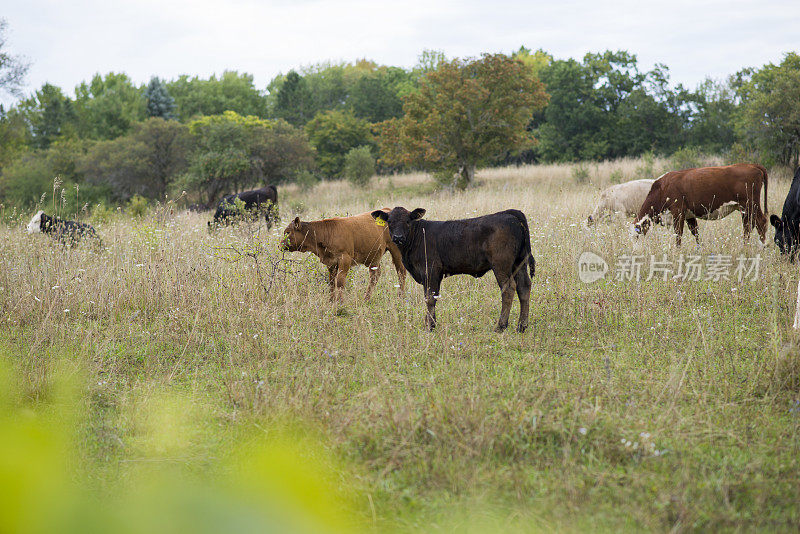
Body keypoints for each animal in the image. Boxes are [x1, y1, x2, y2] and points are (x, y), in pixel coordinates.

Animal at [632, 163, 768, 247]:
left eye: (637, 235)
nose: (635, 252)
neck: (663, 187)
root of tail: (752, 165)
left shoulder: (678, 212)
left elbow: (678, 234)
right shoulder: (689, 216)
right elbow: (695, 233)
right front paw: (699, 249)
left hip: (751, 204)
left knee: (760, 222)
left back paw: (762, 246)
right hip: (744, 208)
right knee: (748, 226)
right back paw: (745, 246)